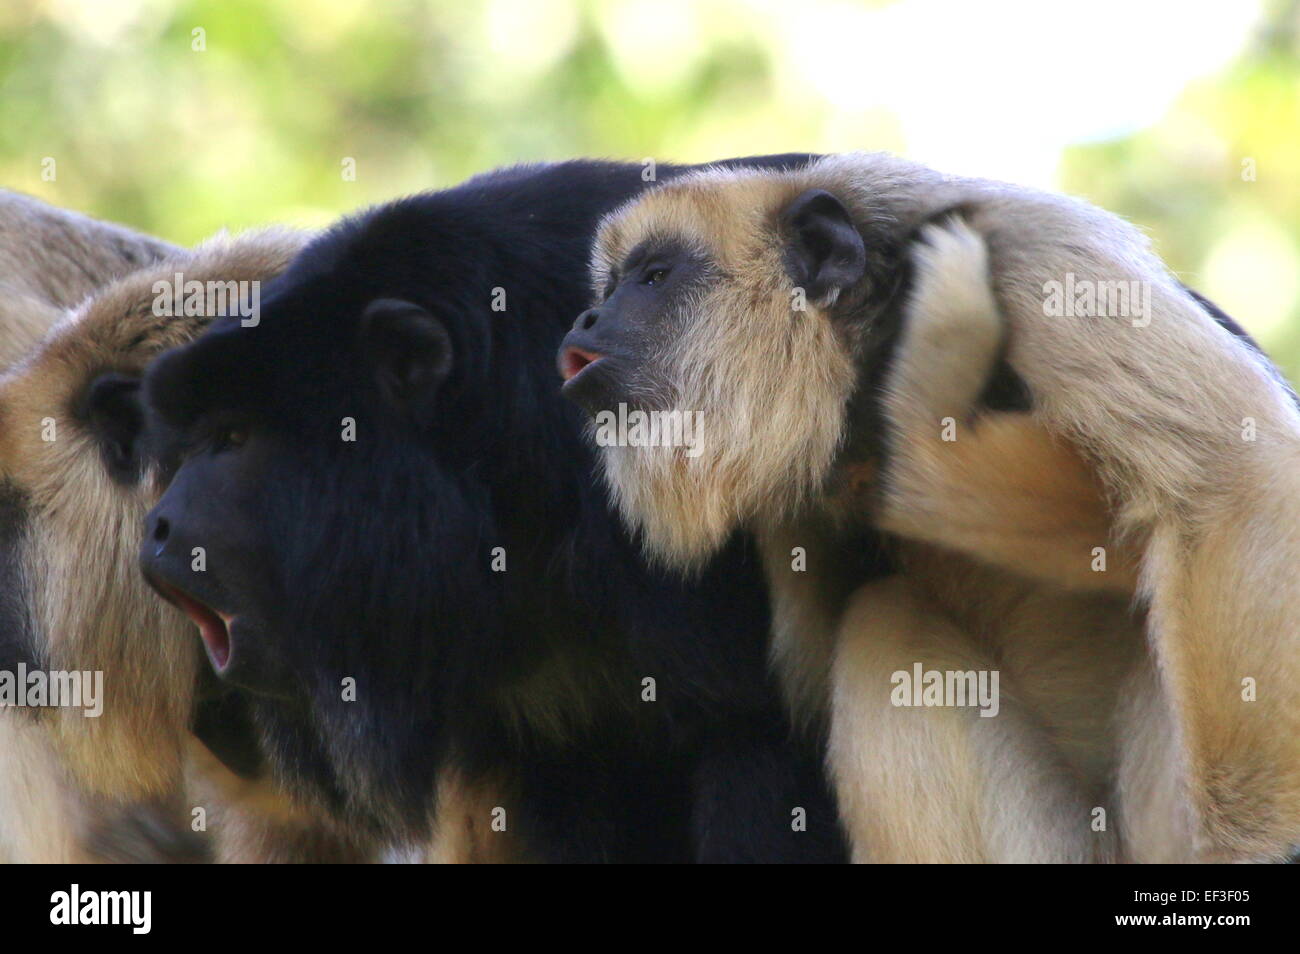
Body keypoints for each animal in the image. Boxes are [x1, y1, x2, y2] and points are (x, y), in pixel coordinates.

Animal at [558, 151, 1300, 862]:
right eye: (609, 286)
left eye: (653, 277)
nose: (587, 318)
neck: (861, 346)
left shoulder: (1033, 256)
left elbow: (1228, 479)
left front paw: (1249, 848)